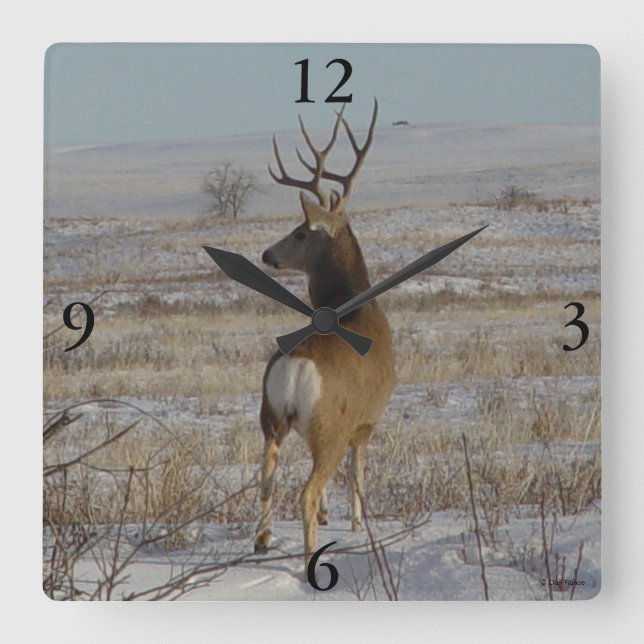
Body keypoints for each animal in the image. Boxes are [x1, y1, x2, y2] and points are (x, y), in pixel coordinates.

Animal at [254, 100, 396, 570]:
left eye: (299, 231)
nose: (268, 254)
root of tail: (296, 367)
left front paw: (331, 515)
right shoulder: (367, 419)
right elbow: (358, 472)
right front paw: (355, 522)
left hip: (270, 417)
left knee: (266, 477)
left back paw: (262, 540)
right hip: (329, 424)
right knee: (307, 488)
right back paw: (307, 558)